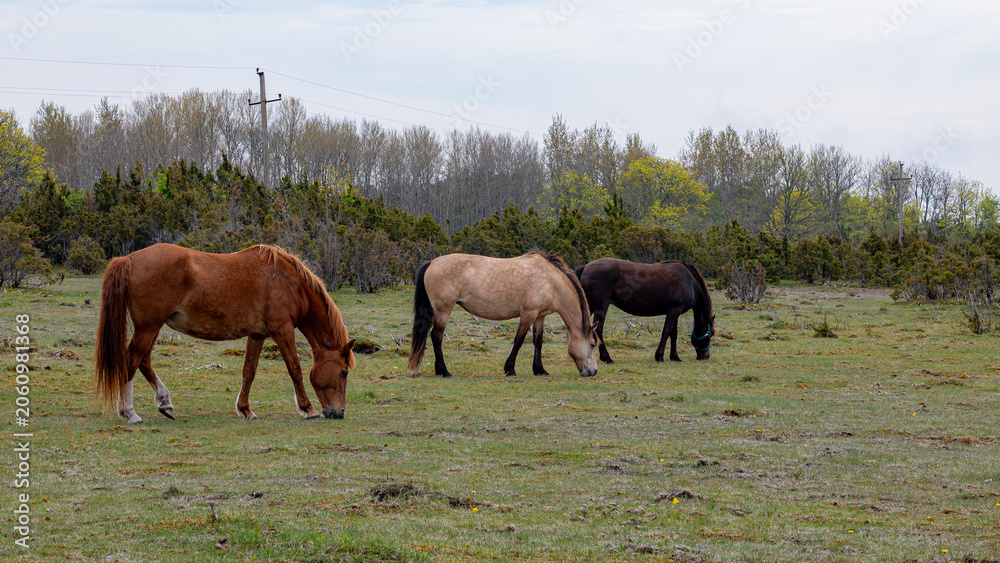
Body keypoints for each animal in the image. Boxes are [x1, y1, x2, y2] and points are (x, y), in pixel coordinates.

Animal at [94, 243, 356, 423]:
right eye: (343, 372)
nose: (340, 412)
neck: (287, 281)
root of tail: (129, 259)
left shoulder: (257, 335)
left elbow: (249, 371)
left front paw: (246, 410)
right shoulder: (282, 330)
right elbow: (295, 369)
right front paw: (307, 409)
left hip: (151, 327)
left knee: (144, 361)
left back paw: (165, 403)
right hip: (148, 327)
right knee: (131, 361)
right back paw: (129, 413)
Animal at [407, 252, 599, 378]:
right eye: (592, 344)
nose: (593, 371)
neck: (550, 281)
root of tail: (432, 262)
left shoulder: (539, 316)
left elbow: (538, 342)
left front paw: (539, 370)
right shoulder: (528, 313)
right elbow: (518, 341)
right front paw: (510, 369)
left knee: (424, 334)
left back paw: (418, 370)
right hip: (443, 310)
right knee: (436, 337)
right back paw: (443, 371)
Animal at [574, 257, 715, 364]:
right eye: (711, 333)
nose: (706, 356)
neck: (690, 281)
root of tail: (586, 266)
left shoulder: (675, 312)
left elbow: (673, 334)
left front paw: (675, 357)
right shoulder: (674, 311)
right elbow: (666, 332)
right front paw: (659, 356)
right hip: (599, 307)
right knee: (598, 330)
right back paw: (607, 358)